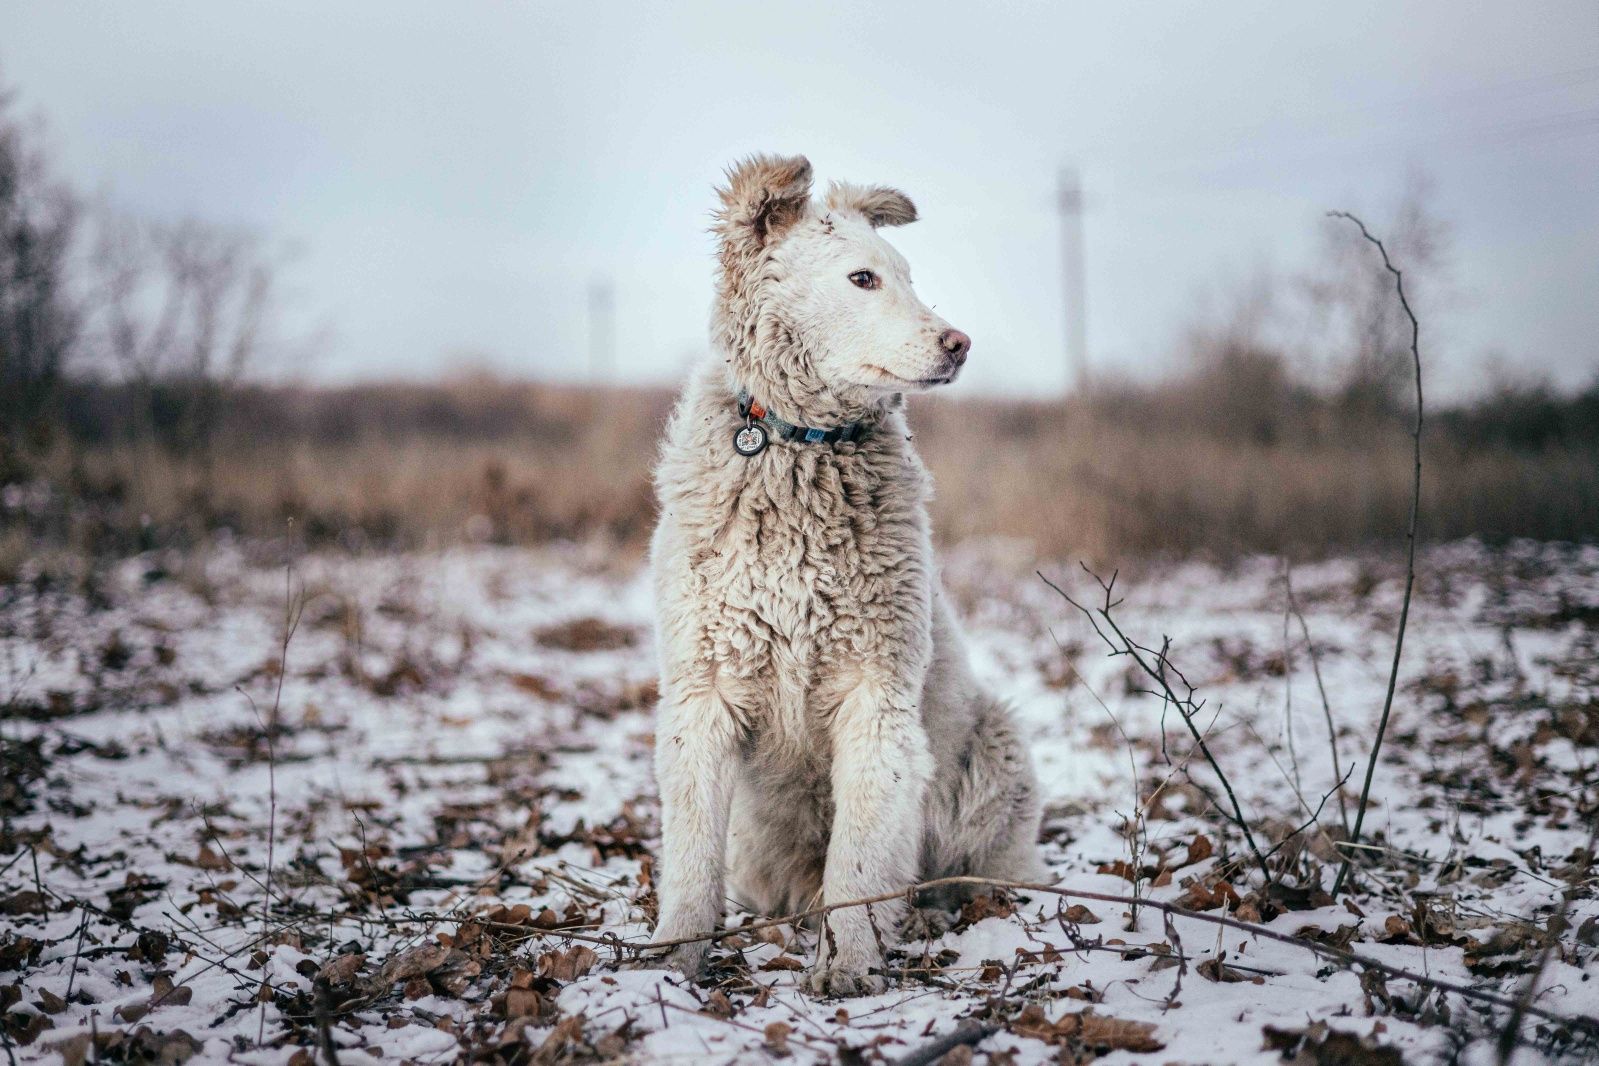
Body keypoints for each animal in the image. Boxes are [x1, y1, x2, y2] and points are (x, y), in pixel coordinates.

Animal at [642, 154, 1042, 997]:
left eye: (908, 276)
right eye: (862, 278)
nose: (958, 342)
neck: (800, 446)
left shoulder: (874, 692)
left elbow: (857, 864)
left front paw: (849, 965)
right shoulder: (704, 690)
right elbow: (690, 858)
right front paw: (669, 960)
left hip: (993, 760)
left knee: (969, 874)